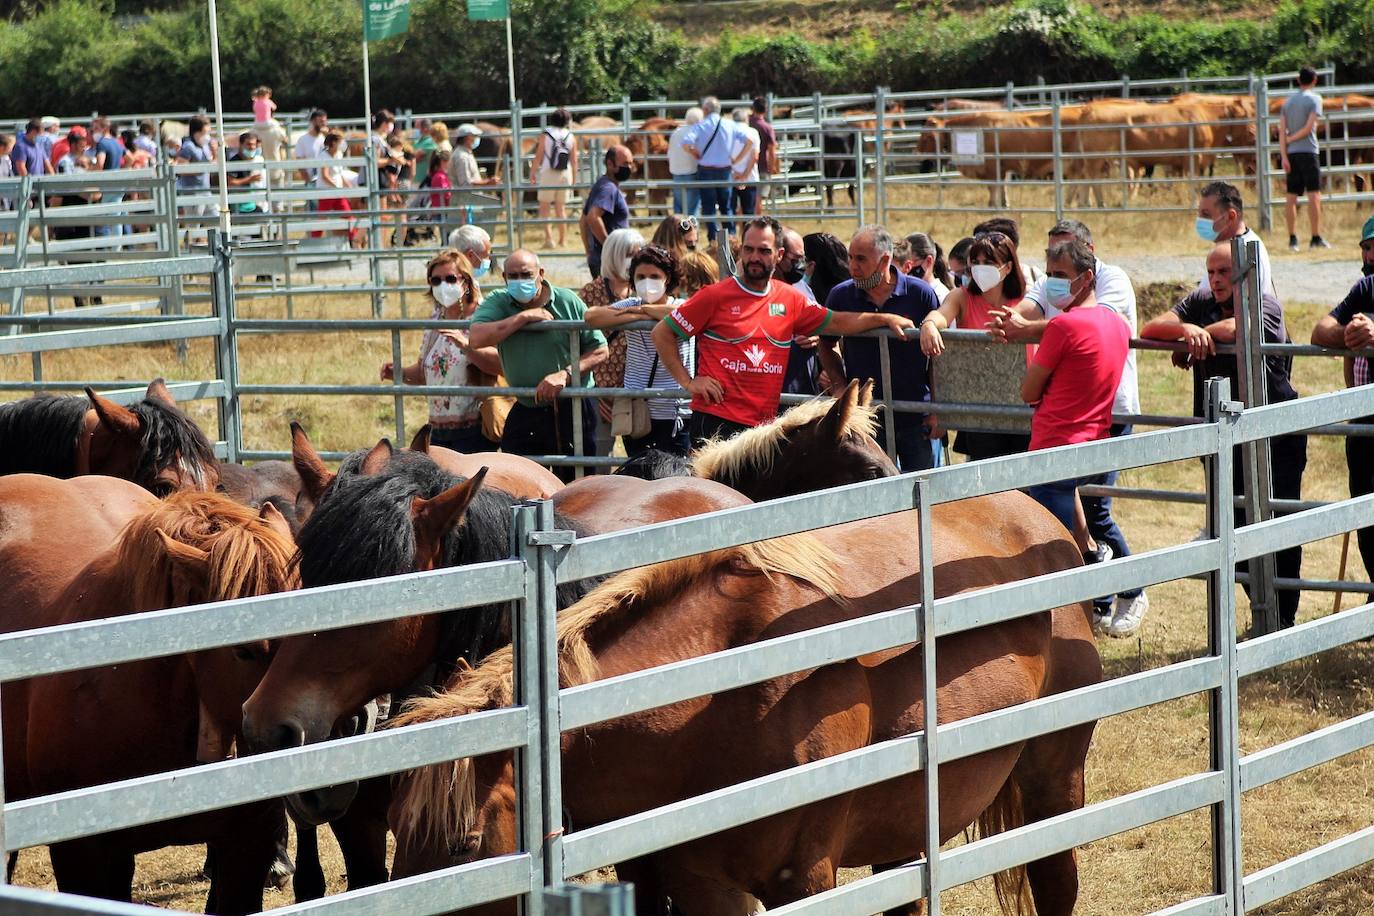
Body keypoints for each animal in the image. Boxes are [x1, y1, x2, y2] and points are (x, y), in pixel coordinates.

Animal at [392, 494, 1099, 916]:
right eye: (399, 832)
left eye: (466, 844)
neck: (713, 698)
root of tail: (1049, 527)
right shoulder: (694, 879)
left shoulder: (803, 879)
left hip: (1054, 781)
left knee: (1058, 883)